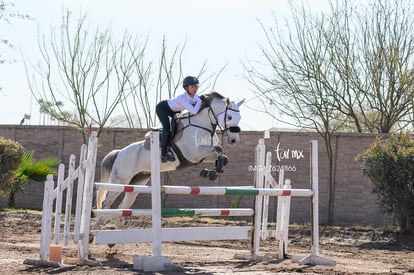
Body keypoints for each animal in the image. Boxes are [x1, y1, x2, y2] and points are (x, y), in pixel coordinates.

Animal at [95, 92, 244, 211]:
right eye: (229, 117)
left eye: (239, 118)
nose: (234, 140)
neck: (202, 125)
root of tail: (119, 153)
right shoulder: (194, 154)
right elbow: (219, 148)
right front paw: (213, 172)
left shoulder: (203, 155)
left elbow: (223, 156)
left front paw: (211, 172)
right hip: (120, 181)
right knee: (106, 202)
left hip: (137, 182)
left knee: (123, 206)